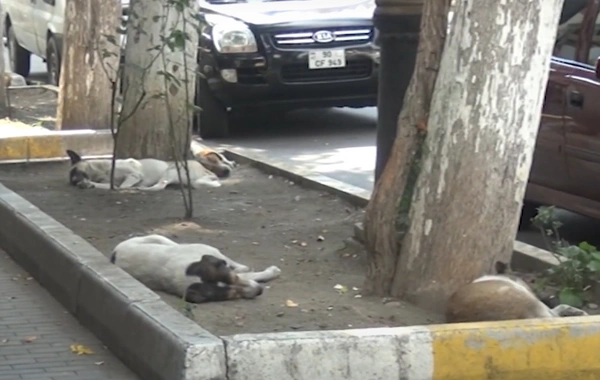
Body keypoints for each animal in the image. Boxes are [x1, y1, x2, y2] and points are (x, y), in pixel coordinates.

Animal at [67, 142, 237, 191]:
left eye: (75, 171)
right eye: (71, 175)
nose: (73, 182)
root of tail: (206, 171)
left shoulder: (134, 175)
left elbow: (122, 186)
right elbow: (110, 185)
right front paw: (88, 184)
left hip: (171, 171)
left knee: (160, 186)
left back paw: (142, 188)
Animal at [111, 235, 282, 302]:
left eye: (232, 279)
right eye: (230, 294)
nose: (259, 291)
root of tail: (113, 255)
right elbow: (251, 276)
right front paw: (271, 272)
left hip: (158, 237)